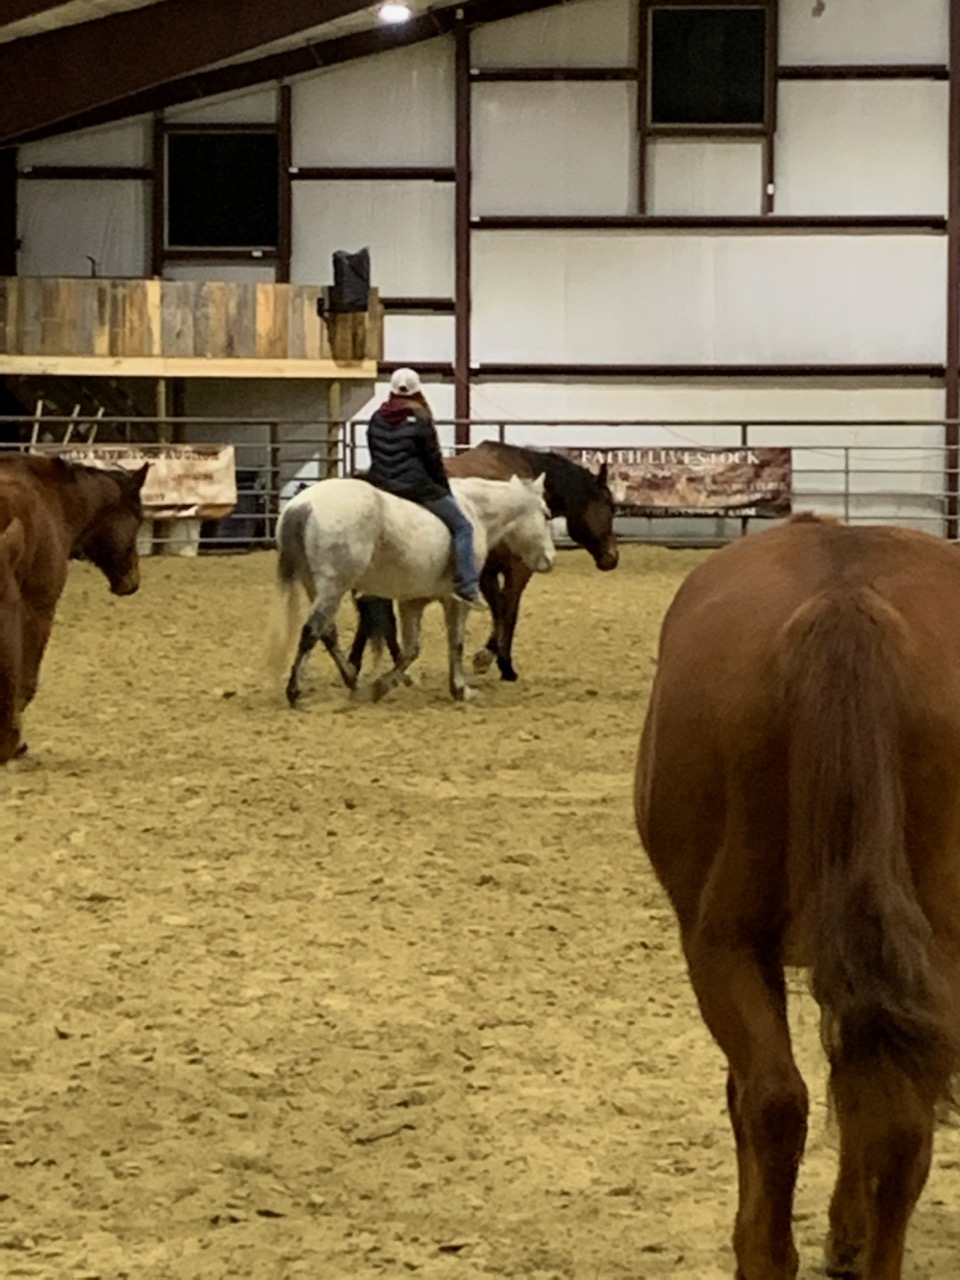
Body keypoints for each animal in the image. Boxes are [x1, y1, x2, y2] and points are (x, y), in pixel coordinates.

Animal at [276, 472, 555, 705]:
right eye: (546, 514)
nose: (550, 559)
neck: (474, 511)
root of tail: (303, 506)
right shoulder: (457, 601)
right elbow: (456, 642)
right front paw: (460, 689)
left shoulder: (412, 602)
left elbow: (411, 650)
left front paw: (381, 686)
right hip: (333, 588)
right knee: (311, 631)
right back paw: (295, 690)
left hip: (316, 587)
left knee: (327, 632)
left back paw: (352, 680)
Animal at [348, 441, 619, 682]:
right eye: (610, 505)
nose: (612, 558)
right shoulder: (517, 570)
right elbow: (508, 610)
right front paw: (500, 663)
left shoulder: (487, 572)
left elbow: (499, 608)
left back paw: (362, 667)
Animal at [635, 513, 960, 1280]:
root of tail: (847, 599)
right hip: (940, 943)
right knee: (902, 1117)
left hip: (723, 943)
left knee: (773, 1100)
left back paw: (763, 1252)